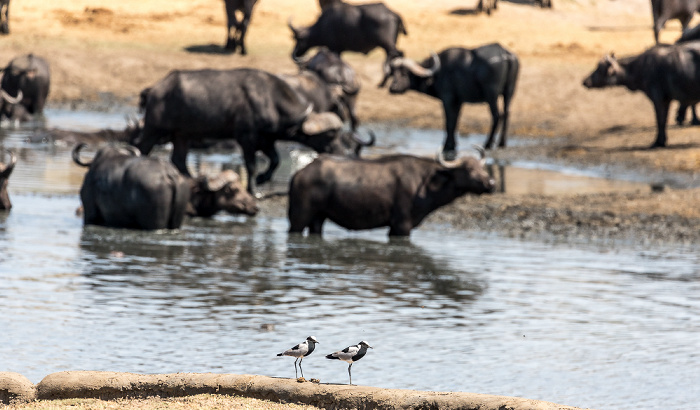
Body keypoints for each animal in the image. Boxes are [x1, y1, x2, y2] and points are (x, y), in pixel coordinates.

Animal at [131, 67, 372, 194]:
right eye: (330, 134)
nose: (342, 153)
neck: (270, 100)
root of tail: (154, 89)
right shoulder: (246, 139)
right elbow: (251, 165)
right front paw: (253, 189)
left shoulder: (266, 140)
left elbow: (274, 160)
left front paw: (264, 180)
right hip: (154, 128)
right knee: (141, 147)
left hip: (182, 134)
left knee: (178, 159)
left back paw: (193, 180)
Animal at [288, 148, 494, 237]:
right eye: (468, 169)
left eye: (482, 167)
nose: (491, 183)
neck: (425, 182)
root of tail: (299, 173)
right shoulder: (401, 225)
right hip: (298, 218)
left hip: (318, 219)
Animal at [380, 43, 516, 155]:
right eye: (393, 73)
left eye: (404, 73)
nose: (392, 88)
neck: (437, 73)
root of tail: (505, 54)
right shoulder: (458, 102)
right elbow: (455, 121)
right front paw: (452, 145)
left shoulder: (447, 99)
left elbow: (448, 122)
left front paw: (447, 146)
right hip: (508, 92)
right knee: (507, 113)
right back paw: (502, 143)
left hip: (491, 95)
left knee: (497, 115)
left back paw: (487, 144)